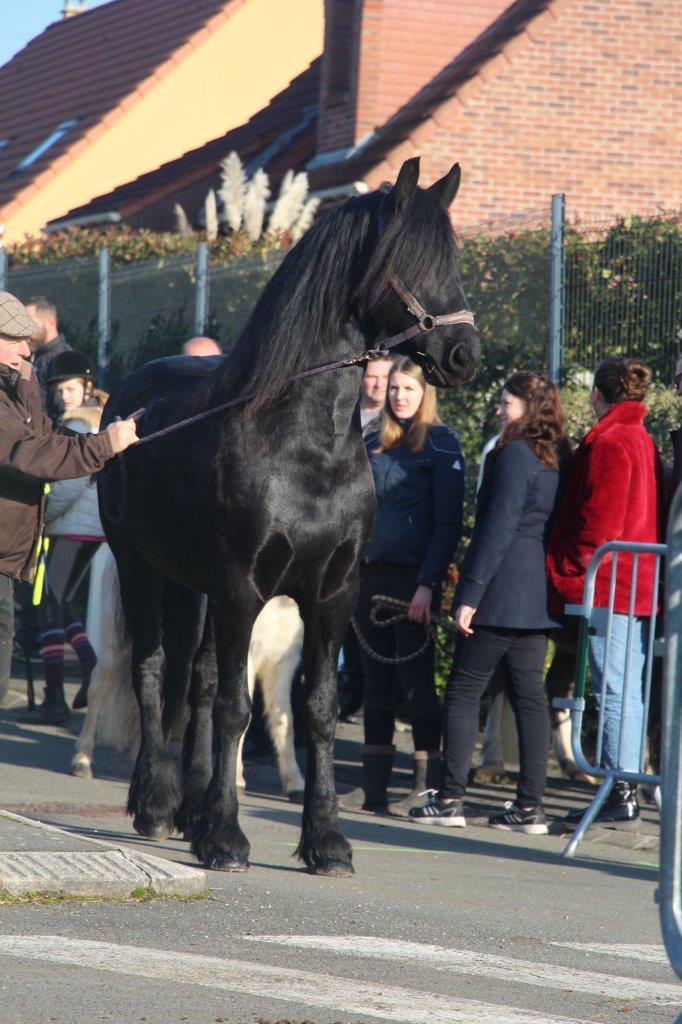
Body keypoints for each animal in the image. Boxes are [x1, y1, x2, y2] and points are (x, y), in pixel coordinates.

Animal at [98, 153, 481, 872]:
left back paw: (188, 808)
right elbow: (233, 709)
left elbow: (319, 711)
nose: (463, 356)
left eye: (454, 257)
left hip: (195, 587)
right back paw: (157, 804)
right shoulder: (244, 588)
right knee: (155, 673)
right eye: (408, 259)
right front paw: (226, 837)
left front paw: (325, 839)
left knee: (193, 681)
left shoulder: (332, 595)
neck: (307, 448)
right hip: (143, 569)